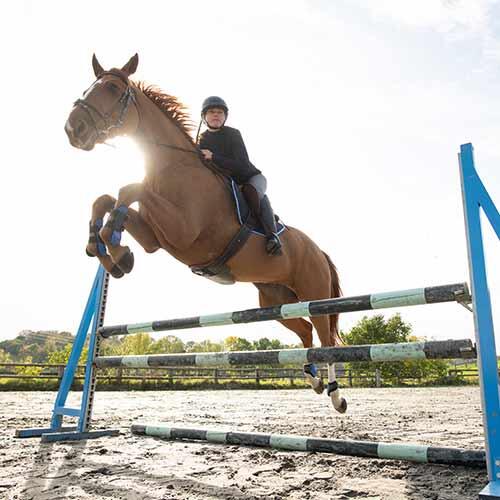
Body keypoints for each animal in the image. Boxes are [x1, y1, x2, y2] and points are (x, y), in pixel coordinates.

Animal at [64, 53, 346, 414]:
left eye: (112, 88)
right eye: (89, 87)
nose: (73, 129)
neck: (173, 167)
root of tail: (318, 250)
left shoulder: (182, 230)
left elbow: (128, 189)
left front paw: (116, 247)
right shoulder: (157, 239)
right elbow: (107, 199)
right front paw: (110, 252)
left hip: (314, 294)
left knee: (325, 338)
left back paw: (336, 394)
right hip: (274, 298)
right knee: (306, 332)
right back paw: (314, 380)